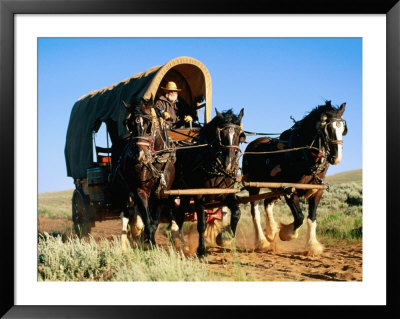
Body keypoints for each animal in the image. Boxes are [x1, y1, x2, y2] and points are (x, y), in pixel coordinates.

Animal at [111, 97, 177, 250]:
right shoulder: (140, 190)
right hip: (122, 190)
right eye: (129, 124)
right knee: (125, 215)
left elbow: (154, 221)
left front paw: (148, 241)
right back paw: (124, 245)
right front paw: (150, 243)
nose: (139, 155)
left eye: (149, 125)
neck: (156, 159)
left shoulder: (161, 193)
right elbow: (147, 220)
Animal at [174, 109, 245, 256]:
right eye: (221, 134)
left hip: (185, 194)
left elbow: (236, 213)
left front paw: (224, 237)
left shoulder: (227, 194)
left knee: (180, 215)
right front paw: (201, 250)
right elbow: (201, 223)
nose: (229, 163)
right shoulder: (199, 196)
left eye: (238, 134)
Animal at [241, 101, 346, 256]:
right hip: (253, 186)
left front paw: (312, 245)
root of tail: (252, 144)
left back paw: (271, 231)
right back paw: (262, 242)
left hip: (276, 188)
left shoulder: (317, 190)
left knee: (267, 203)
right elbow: (299, 218)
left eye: (343, 129)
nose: (336, 158)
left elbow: (311, 218)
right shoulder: (289, 190)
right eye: (328, 129)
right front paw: (286, 233)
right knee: (255, 212)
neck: (304, 155)